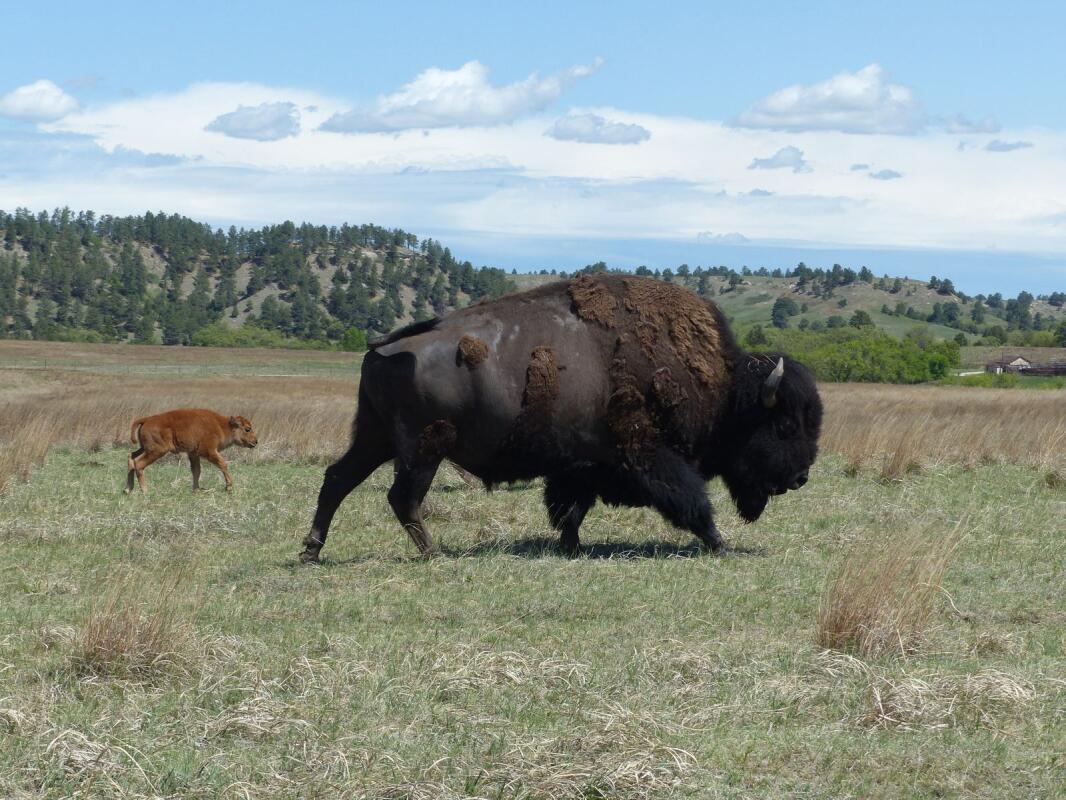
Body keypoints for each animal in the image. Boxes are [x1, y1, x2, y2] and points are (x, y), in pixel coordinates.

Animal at [124, 409, 255, 492]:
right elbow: (223, 464)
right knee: (139, 463)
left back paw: (128, 489)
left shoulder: (193, 454)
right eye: (247, 429)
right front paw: (229, 487)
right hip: (156, 451)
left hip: (144, 448)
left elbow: (196, 470)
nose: (255, 441)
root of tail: (147, 419)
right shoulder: (209, 452)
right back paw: (145, 490)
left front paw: (196, 489)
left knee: (131, 457)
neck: (222, 425)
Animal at [300, 273, 822, 558]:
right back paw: (434, 554)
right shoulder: (647, 454)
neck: (724, 386)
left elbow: (571, 508)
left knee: (337, 480)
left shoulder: (582, 465)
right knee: (401, 498)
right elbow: (693, 501)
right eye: (785, 425)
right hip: (422, 448)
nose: (800, 477)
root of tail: (385, 347)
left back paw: (311, 551)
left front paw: (570, 546)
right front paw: (719, 543)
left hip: (375, 437)